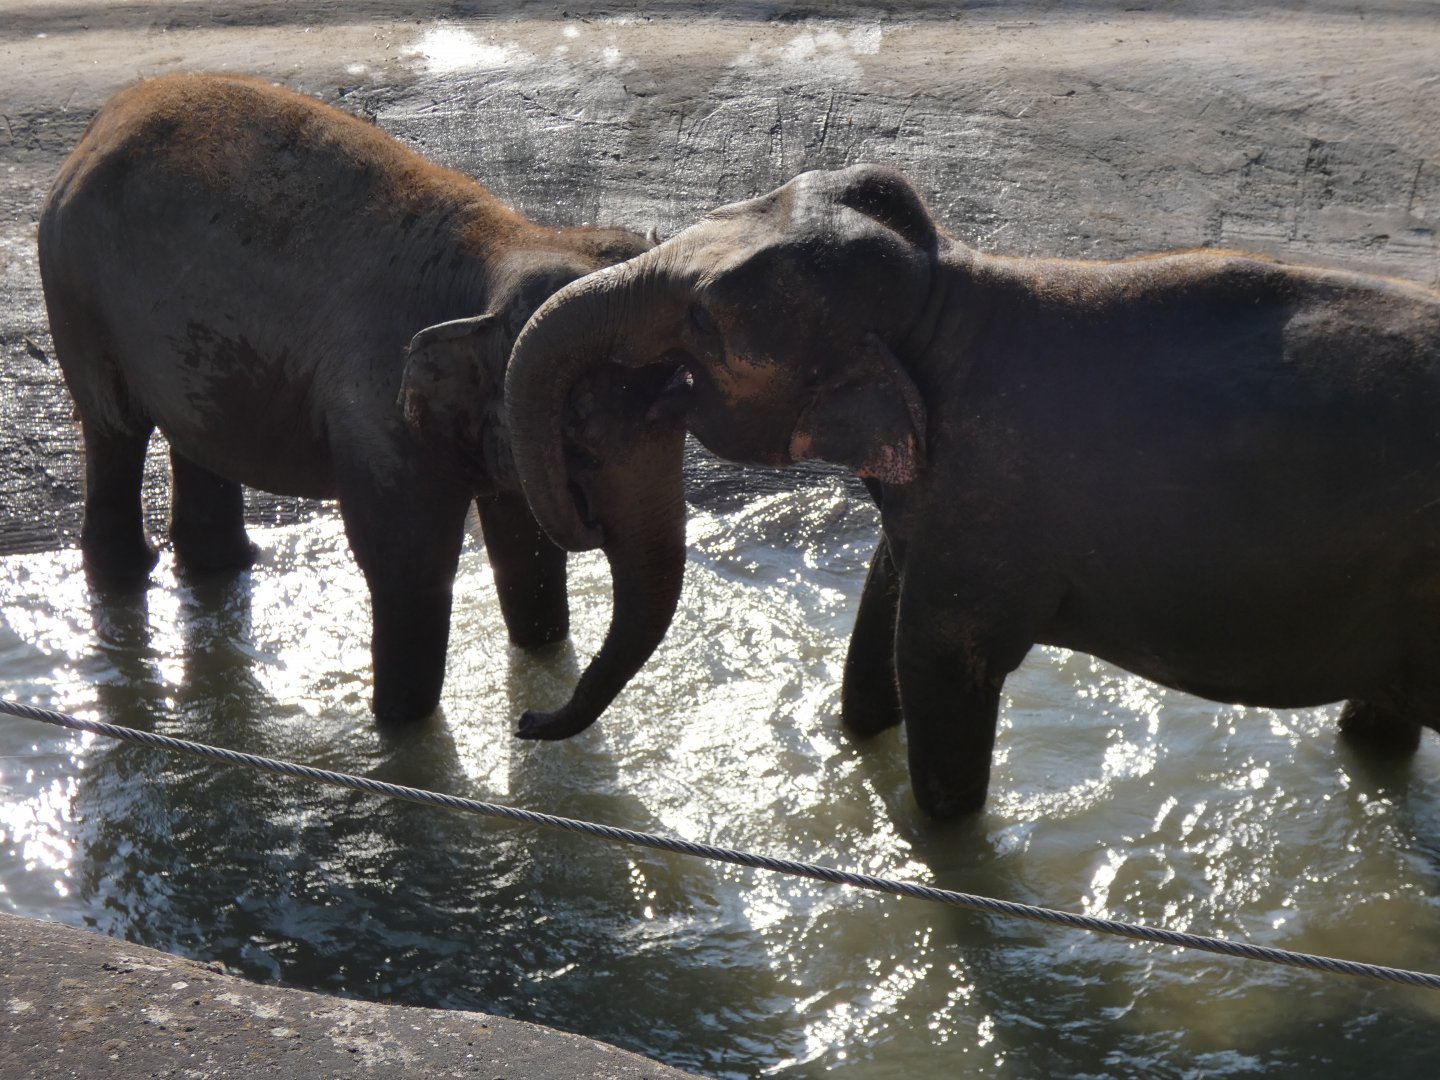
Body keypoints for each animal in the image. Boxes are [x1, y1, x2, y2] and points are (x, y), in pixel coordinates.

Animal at [37, 72, 673, 725]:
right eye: (581, 446)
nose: (526, 725)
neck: (504, 246)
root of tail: (101, 120)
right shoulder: (377, 418)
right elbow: (408, 563)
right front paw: (403, 730)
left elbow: (525, 543)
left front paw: (540, 659)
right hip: (78, 295)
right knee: (114, 430)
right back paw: (124, 576)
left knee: (196, 437)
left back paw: (223, 566)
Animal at [502, 163, 1440, 819]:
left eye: (703, 316)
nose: (523, 723)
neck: (947, 290)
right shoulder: (933, 502)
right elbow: (875, 643)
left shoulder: (987, 505)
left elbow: (934, 667)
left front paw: (947, 841)